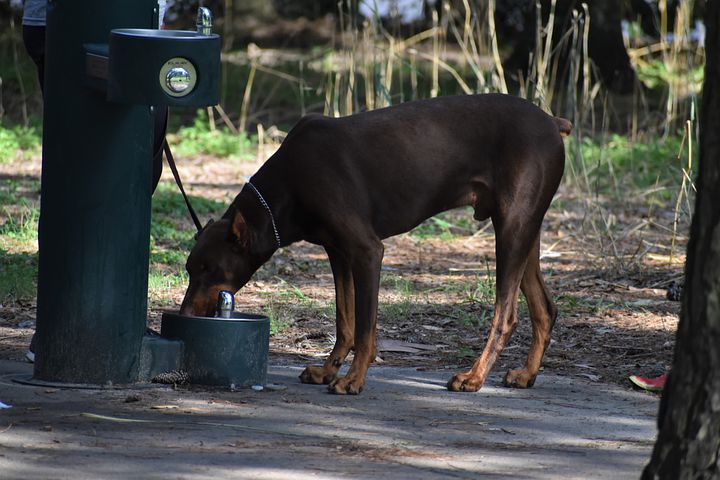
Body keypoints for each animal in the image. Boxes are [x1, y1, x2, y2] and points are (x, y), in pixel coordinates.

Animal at [179, 93, 568, 394]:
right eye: (189, 269)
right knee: (544, 309)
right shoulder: (337, 251)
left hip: (513, 227)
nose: (183, 317)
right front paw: (327, 370)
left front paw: (352, 380)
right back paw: (526, 374)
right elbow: (345, 320)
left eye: (210, 270)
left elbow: (365, 328)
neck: (289, 184)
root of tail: (552, 121)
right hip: (524, 231)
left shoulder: (366, 251)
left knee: (507, 314)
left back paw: (474, 377)